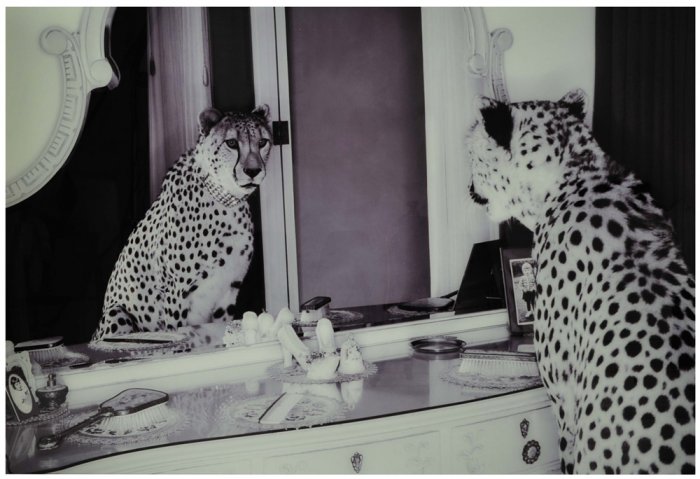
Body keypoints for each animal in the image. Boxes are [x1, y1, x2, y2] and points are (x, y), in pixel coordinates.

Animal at [91, 106, 272, 342]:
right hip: (117, 313)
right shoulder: (175, 291)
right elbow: (177, 328)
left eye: (263, 142)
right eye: (232, 143)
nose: (253, 171)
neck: (225, 199)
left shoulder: (229, 290)